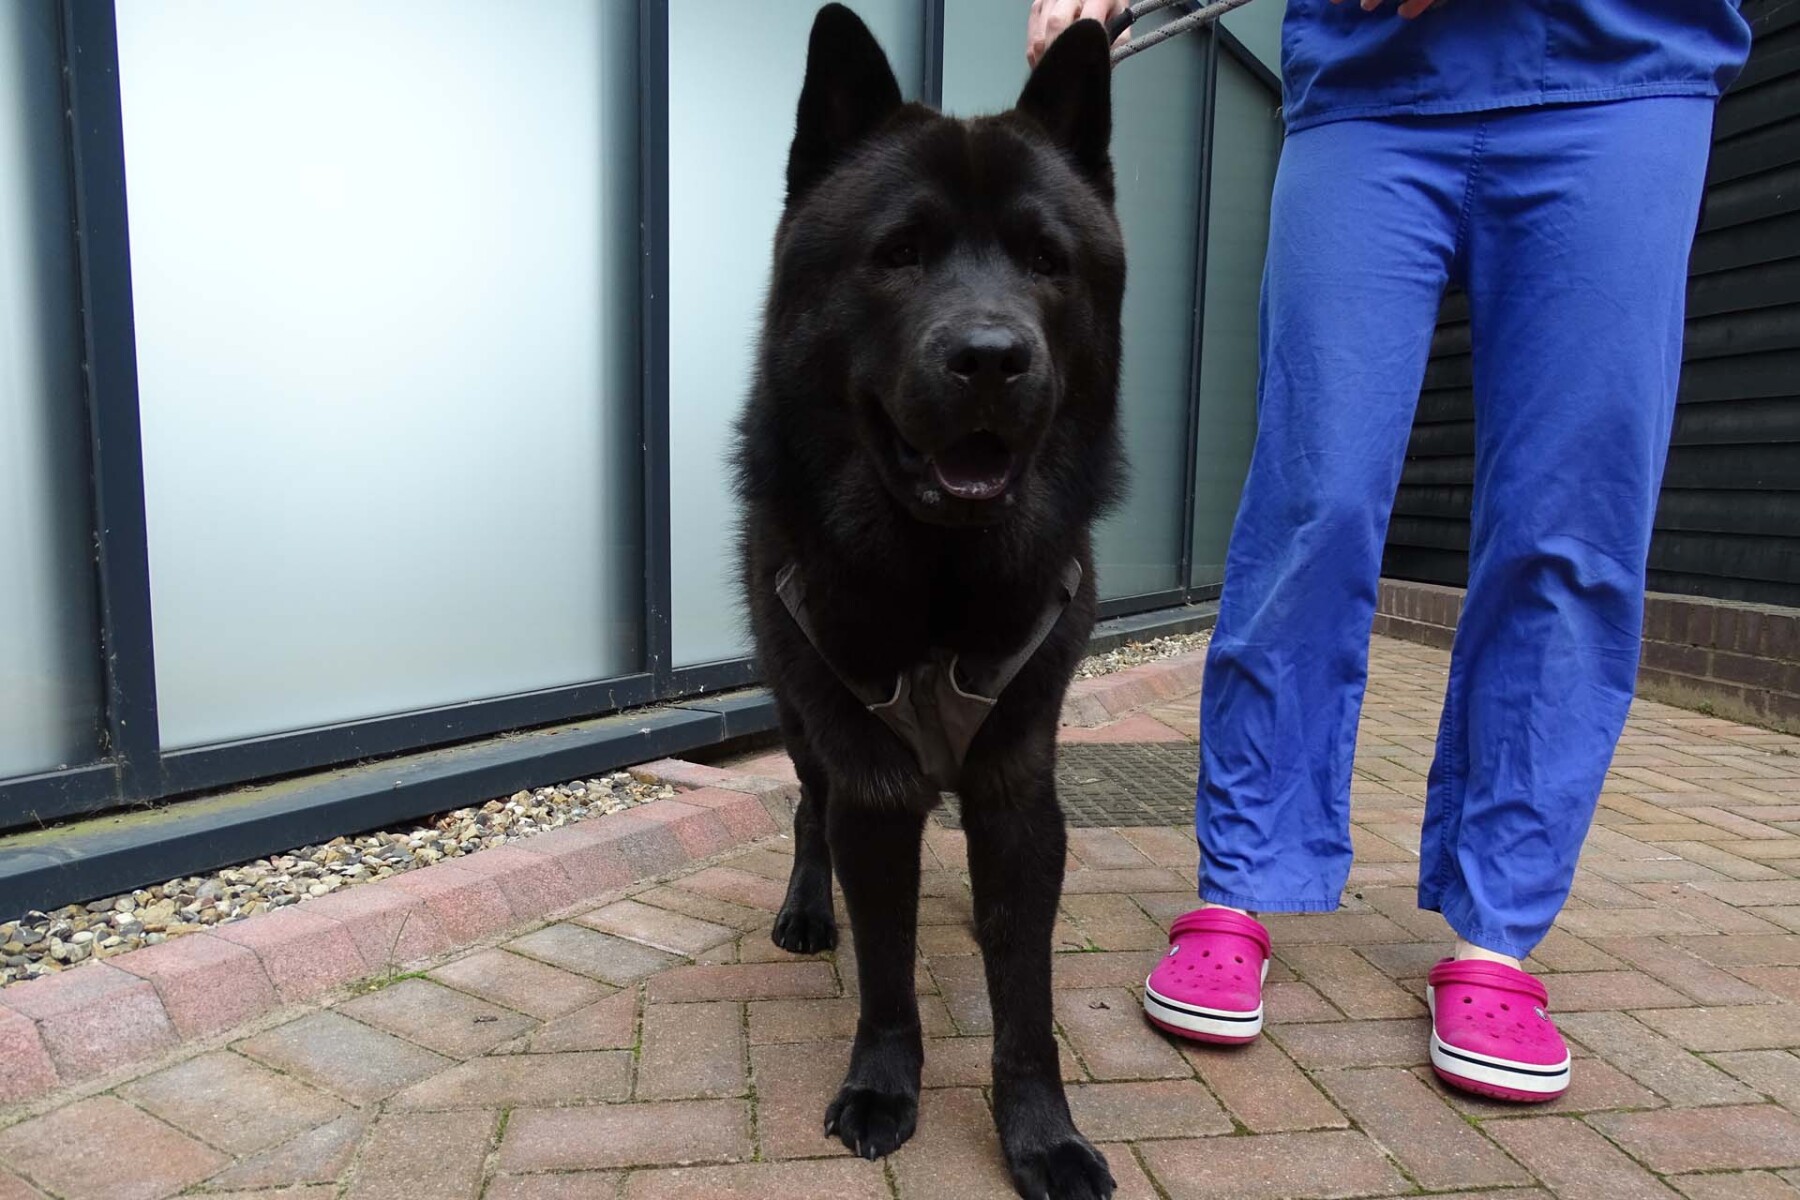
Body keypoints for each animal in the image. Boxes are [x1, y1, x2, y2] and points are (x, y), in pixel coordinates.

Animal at [730, 11, 1123, 1200]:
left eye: (1046, 261)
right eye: (898, 254)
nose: (991, 360)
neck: (942, 581)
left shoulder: (1018, 789)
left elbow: (1025, 999)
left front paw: (1042, 1135)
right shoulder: (870, 782)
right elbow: (888, 970)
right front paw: (882, 1088)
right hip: (803, 722)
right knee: (805, 815)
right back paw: (808, 913)